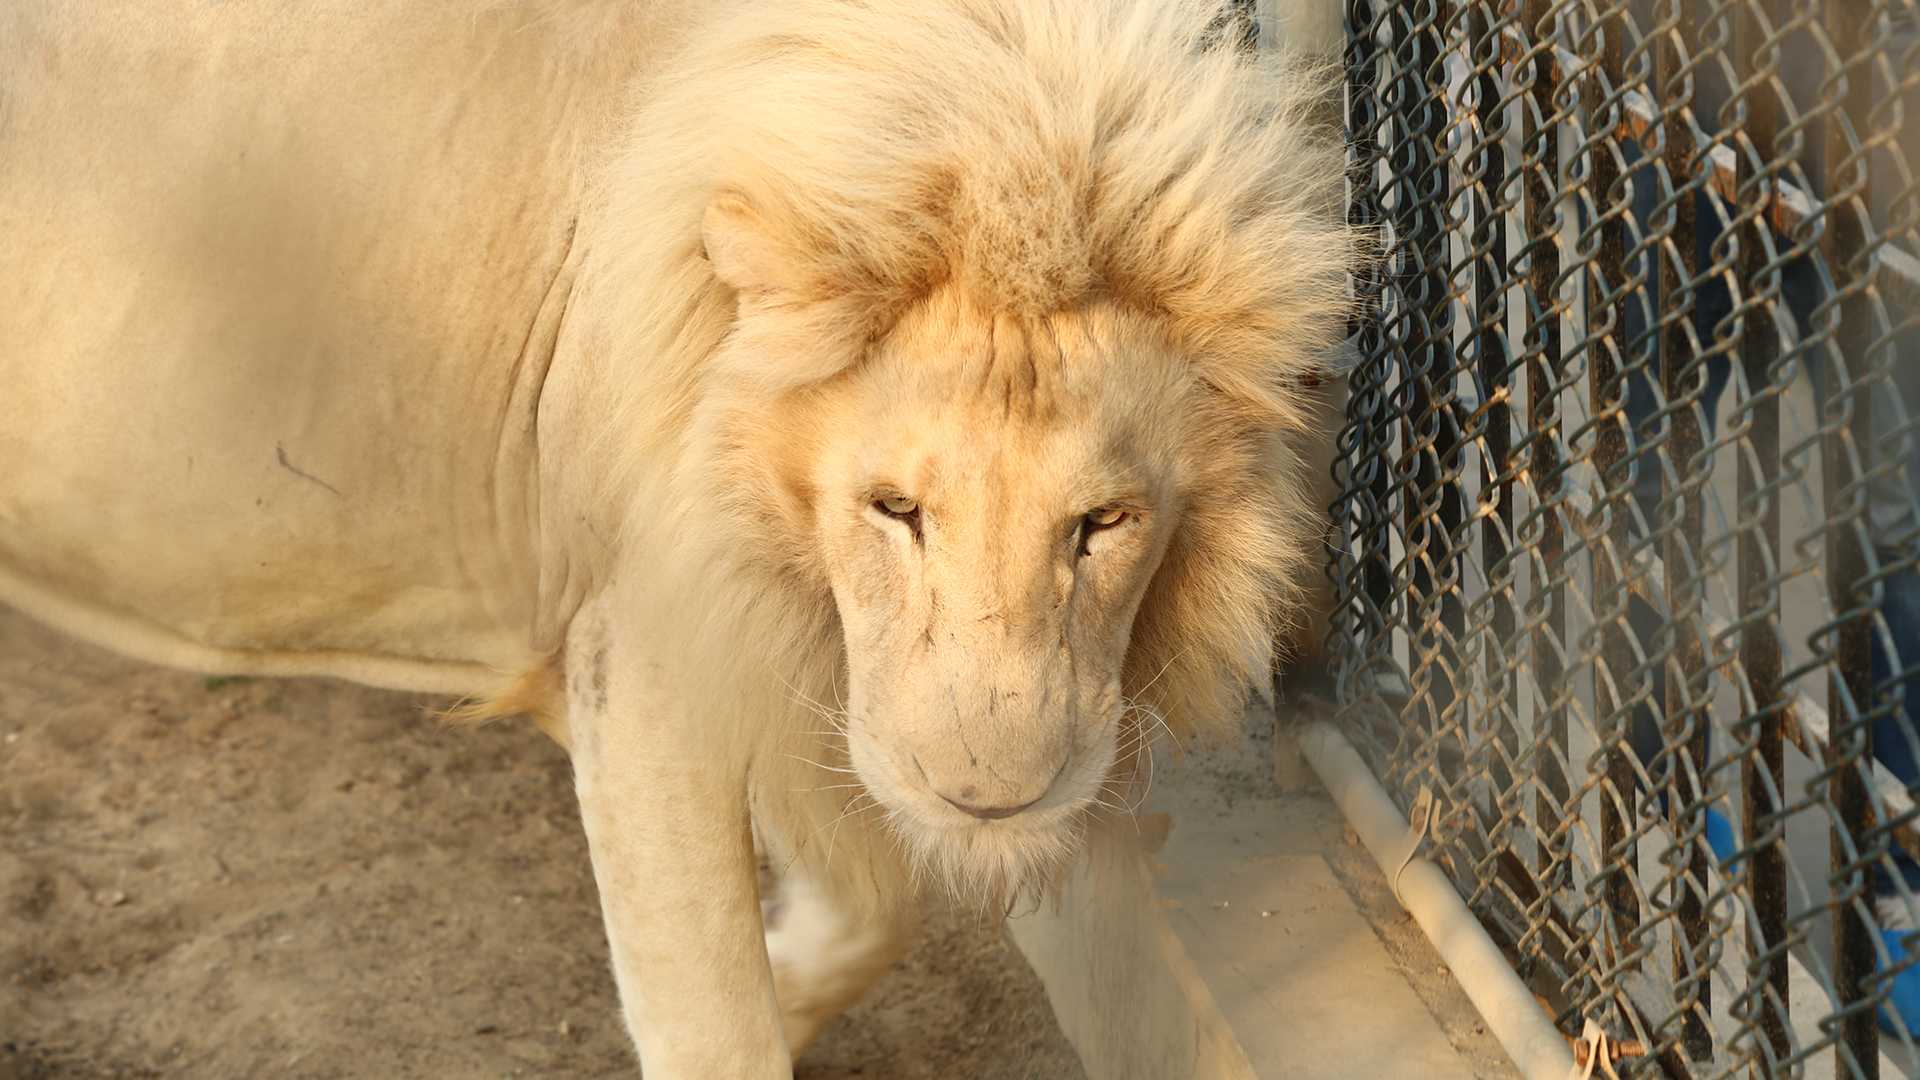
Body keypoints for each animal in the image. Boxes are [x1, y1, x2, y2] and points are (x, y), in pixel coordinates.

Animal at [0, 0, 1355, 1074]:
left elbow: (866, 909)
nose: (989, 796)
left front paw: (793, 970)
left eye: (1103, 522)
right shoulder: (642, 673)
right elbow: (717, 1026)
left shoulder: (792, 683)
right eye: (895, 508)